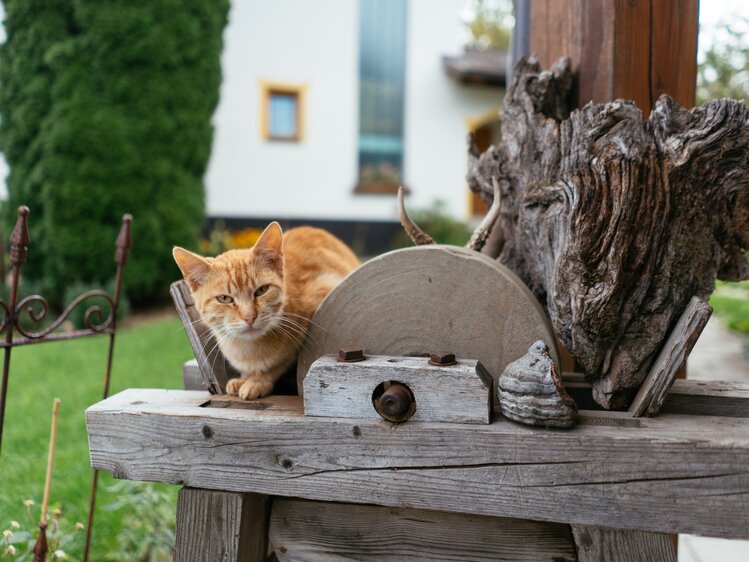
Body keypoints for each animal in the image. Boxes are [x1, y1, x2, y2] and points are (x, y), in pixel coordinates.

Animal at [176, 222, 362, 398]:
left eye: (262, 290)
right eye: (224, 299)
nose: (249, 317)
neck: (247, 350)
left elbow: (279, 362)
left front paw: (257, 380)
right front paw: (244, 378)